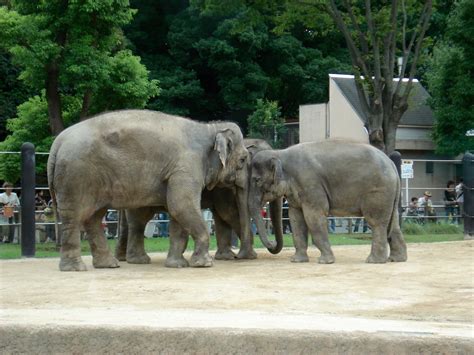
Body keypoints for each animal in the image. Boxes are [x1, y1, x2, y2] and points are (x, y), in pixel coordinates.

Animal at [46, 110, 250, 272]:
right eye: (242, 160)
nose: (242, 257)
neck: (209, 127)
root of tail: (58, 142)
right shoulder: (186, 167)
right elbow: (181, 205)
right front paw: (204, 264)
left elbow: (177, 212)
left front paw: (177, 265)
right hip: (76, 175)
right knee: (75, 216)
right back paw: (75, 268)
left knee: (94, 217)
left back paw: (108, 264)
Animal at [115, 139, 286, 268]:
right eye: (258, 178)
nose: (272, 243)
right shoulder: (222, 188)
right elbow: (228, 212)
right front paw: (246, 256)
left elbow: (221, 217)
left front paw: (227, 257)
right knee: (139, 219)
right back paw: (135, 260)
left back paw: (122, 258)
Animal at [248, 141, 408, 264]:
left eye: (256, 180)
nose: (272, 243)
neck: (280, 153)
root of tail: (392, 164)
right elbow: (296, 219)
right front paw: (297, 261)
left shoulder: (310, 183)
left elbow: (314, 217)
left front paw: (325, 261)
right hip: (389, 194)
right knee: (393, 223)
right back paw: (396, 259)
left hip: (378, 191)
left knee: (376, 222)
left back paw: (374, 261)